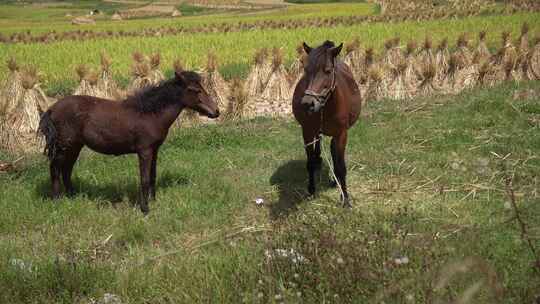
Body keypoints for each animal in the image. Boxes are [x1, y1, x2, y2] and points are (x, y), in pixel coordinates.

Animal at [37, 71, 219, 214]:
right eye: (195, 90)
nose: (216, 111)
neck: (150, 113)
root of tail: (51, 109)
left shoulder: (155, 150)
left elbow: (152, 176)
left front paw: (153, 201)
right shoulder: (144, 151)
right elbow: (144, 179)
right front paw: (145, 208)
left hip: (74, 147)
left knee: (66, 170)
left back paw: (73, 196)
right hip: (64, 147)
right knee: (55, 169)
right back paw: (57, 200)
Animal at [292, 40, 362, 208]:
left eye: (328, 71)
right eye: (306, 70)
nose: (308, 103)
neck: (326, 107)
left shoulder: (342, 134)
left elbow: (341, 167)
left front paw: (345, 198)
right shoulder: (307, 131)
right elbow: (310, 162)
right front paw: (311, 190)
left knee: (332, 149)